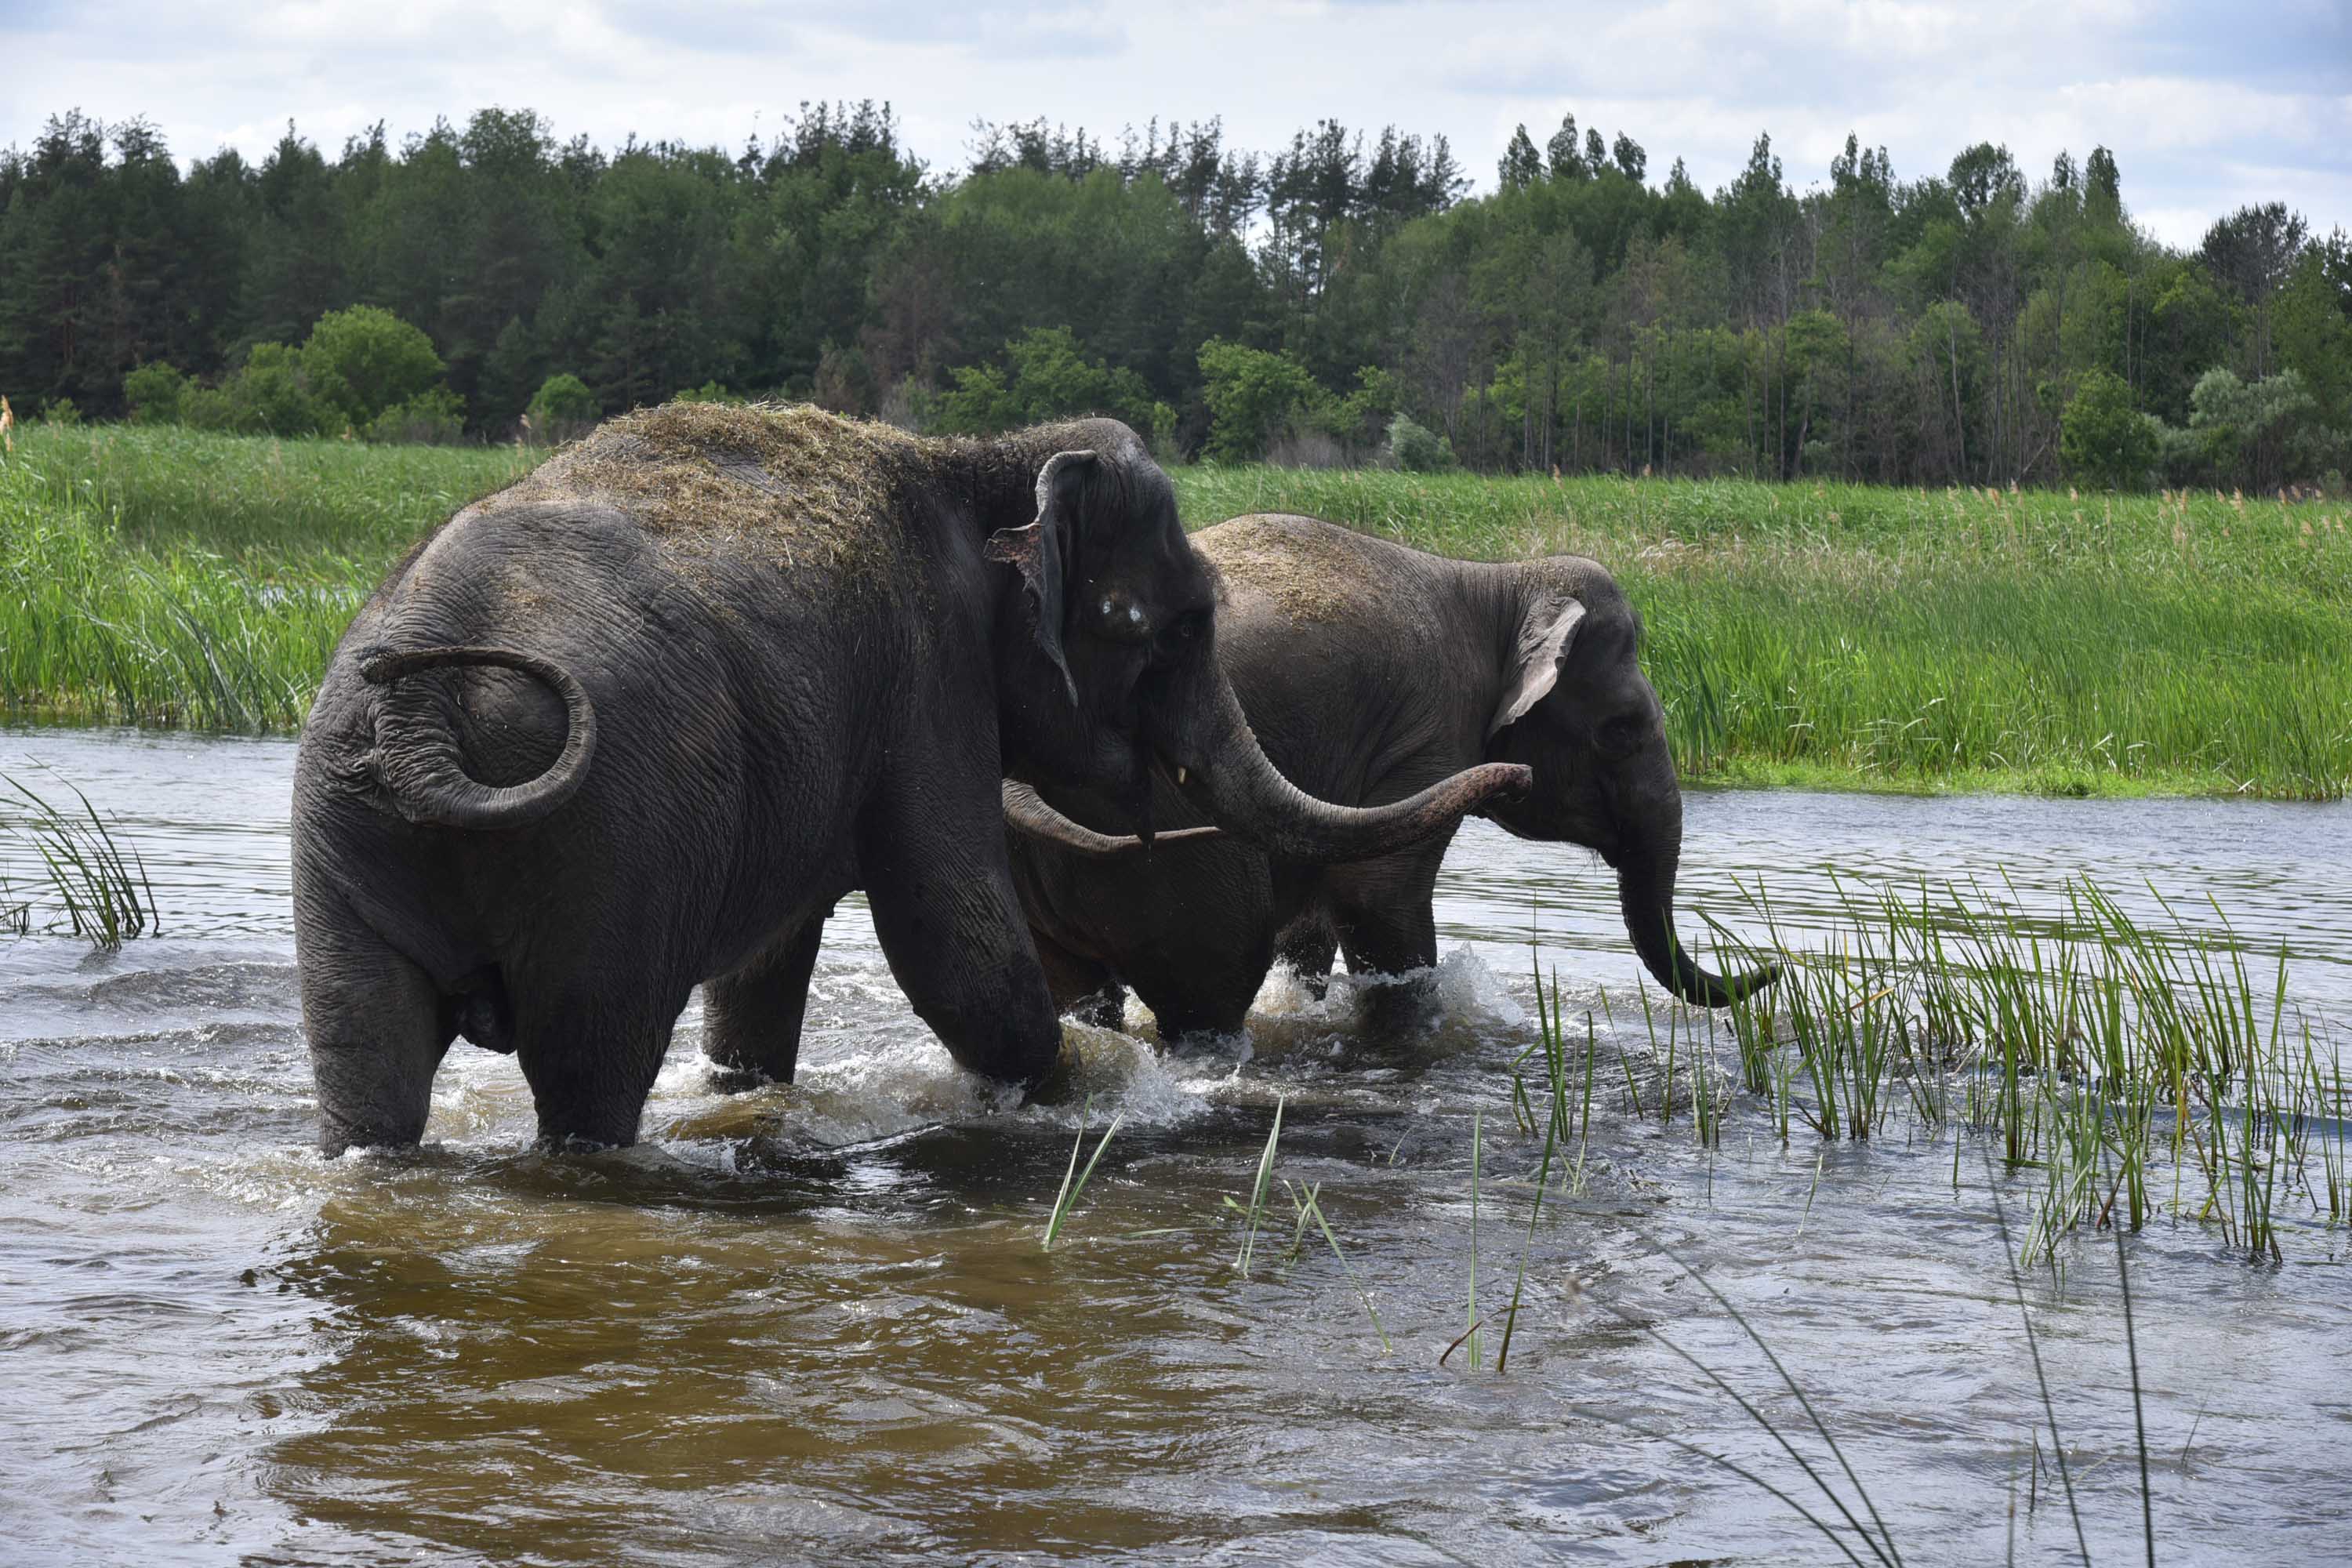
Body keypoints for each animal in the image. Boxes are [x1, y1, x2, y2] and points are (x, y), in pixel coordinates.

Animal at [1002, 514, 1769, 1044]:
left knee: (1081, 994)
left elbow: (1312, 927)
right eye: (1623, 730)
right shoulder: (1428, 733)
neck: (1495, 582)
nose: (1771, 968)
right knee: (1211, 977)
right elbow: (1377, 899)